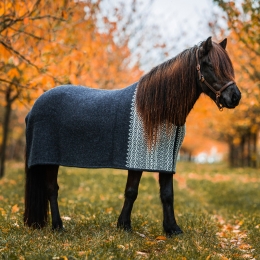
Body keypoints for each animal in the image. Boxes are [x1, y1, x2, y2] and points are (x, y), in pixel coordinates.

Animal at [23, 35, 241, 237]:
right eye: (209, 65)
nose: (235, 97)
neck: (157, 109)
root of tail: (35, 107)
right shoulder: (137, 161)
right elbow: (131, 192)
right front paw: (125, 226)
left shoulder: (166, 162)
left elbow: (167, 194)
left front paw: (172, 229)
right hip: (49, 159)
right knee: (52, 189)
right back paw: (58, 226)